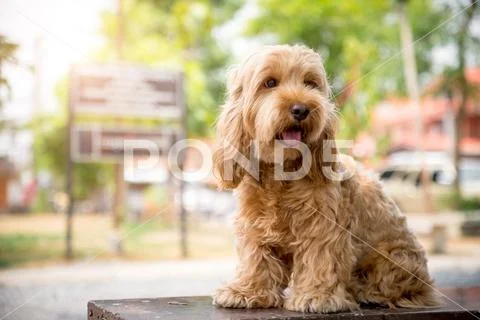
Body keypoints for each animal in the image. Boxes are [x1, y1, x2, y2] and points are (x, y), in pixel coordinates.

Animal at [212, 44, 440, 312]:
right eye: (269, 83)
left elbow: (319, 259)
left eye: (310, 83)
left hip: (394, 257)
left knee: (395, 289)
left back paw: (363, 291)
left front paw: (316, 296)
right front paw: (247, 291)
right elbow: (256, 258)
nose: (301, 109)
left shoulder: (324, 227)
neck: (283, 174)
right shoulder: (254, 225)